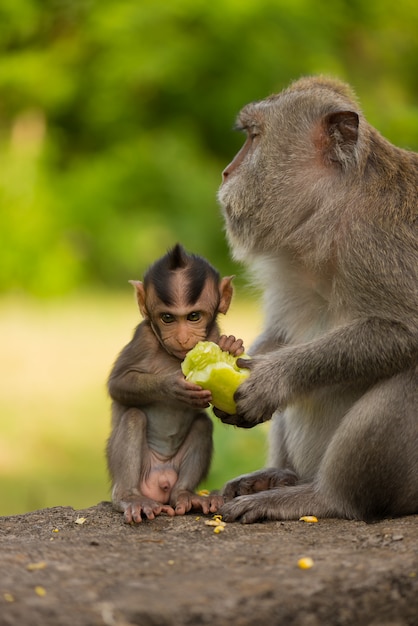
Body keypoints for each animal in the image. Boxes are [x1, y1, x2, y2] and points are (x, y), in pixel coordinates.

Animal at [108, 244, 243, 520]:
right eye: (167, 318)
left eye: (193, 316)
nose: (181, 339)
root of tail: (159, 482)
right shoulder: (144, 338)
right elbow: (118, 384)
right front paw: (172, 386)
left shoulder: (211, 333)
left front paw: (231, 346)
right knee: (134, 417)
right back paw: (129, 498)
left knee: (202, 425)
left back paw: (185, 495)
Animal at [217, 74, 416, 520]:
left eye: (254, 136)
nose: (225, 172)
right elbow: (280, 333)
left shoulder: (378, 239)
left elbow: (407, 331)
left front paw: (272, 379)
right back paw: (278, 475)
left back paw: (324, 498)